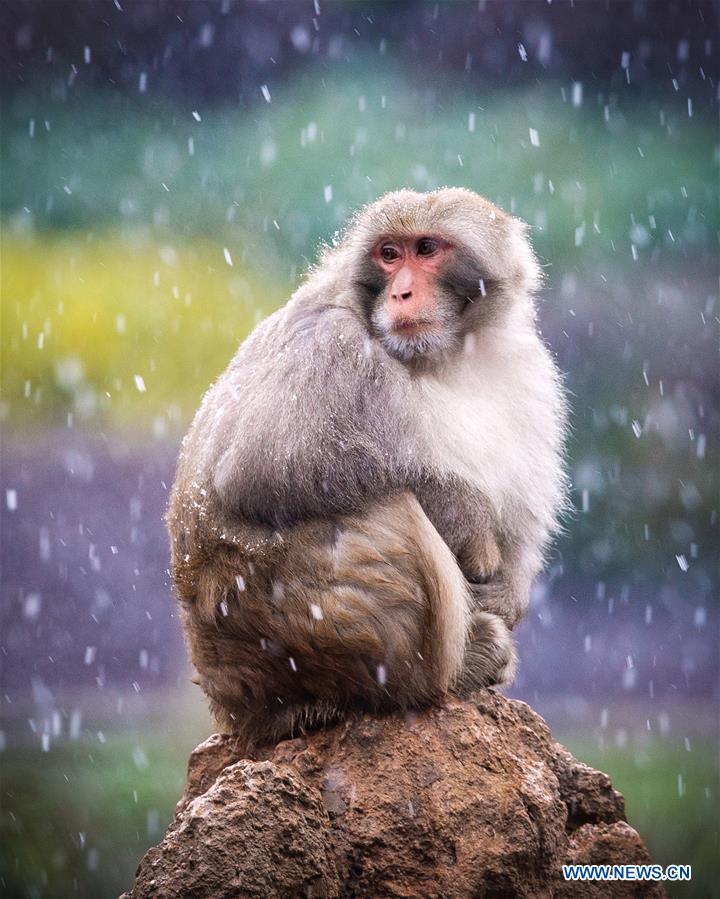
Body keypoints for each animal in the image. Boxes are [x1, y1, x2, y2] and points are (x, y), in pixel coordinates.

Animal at [167, 187, 568, 750]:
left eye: (427, 249)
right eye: (389, 255)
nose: (401, 293)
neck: (443, 356)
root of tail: (238, 712)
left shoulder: (525, 368)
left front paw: (507, 593)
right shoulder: (328, 343)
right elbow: (258, 465)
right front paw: (467, 515)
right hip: (302, 630)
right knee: (388, 507)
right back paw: (452, 670)